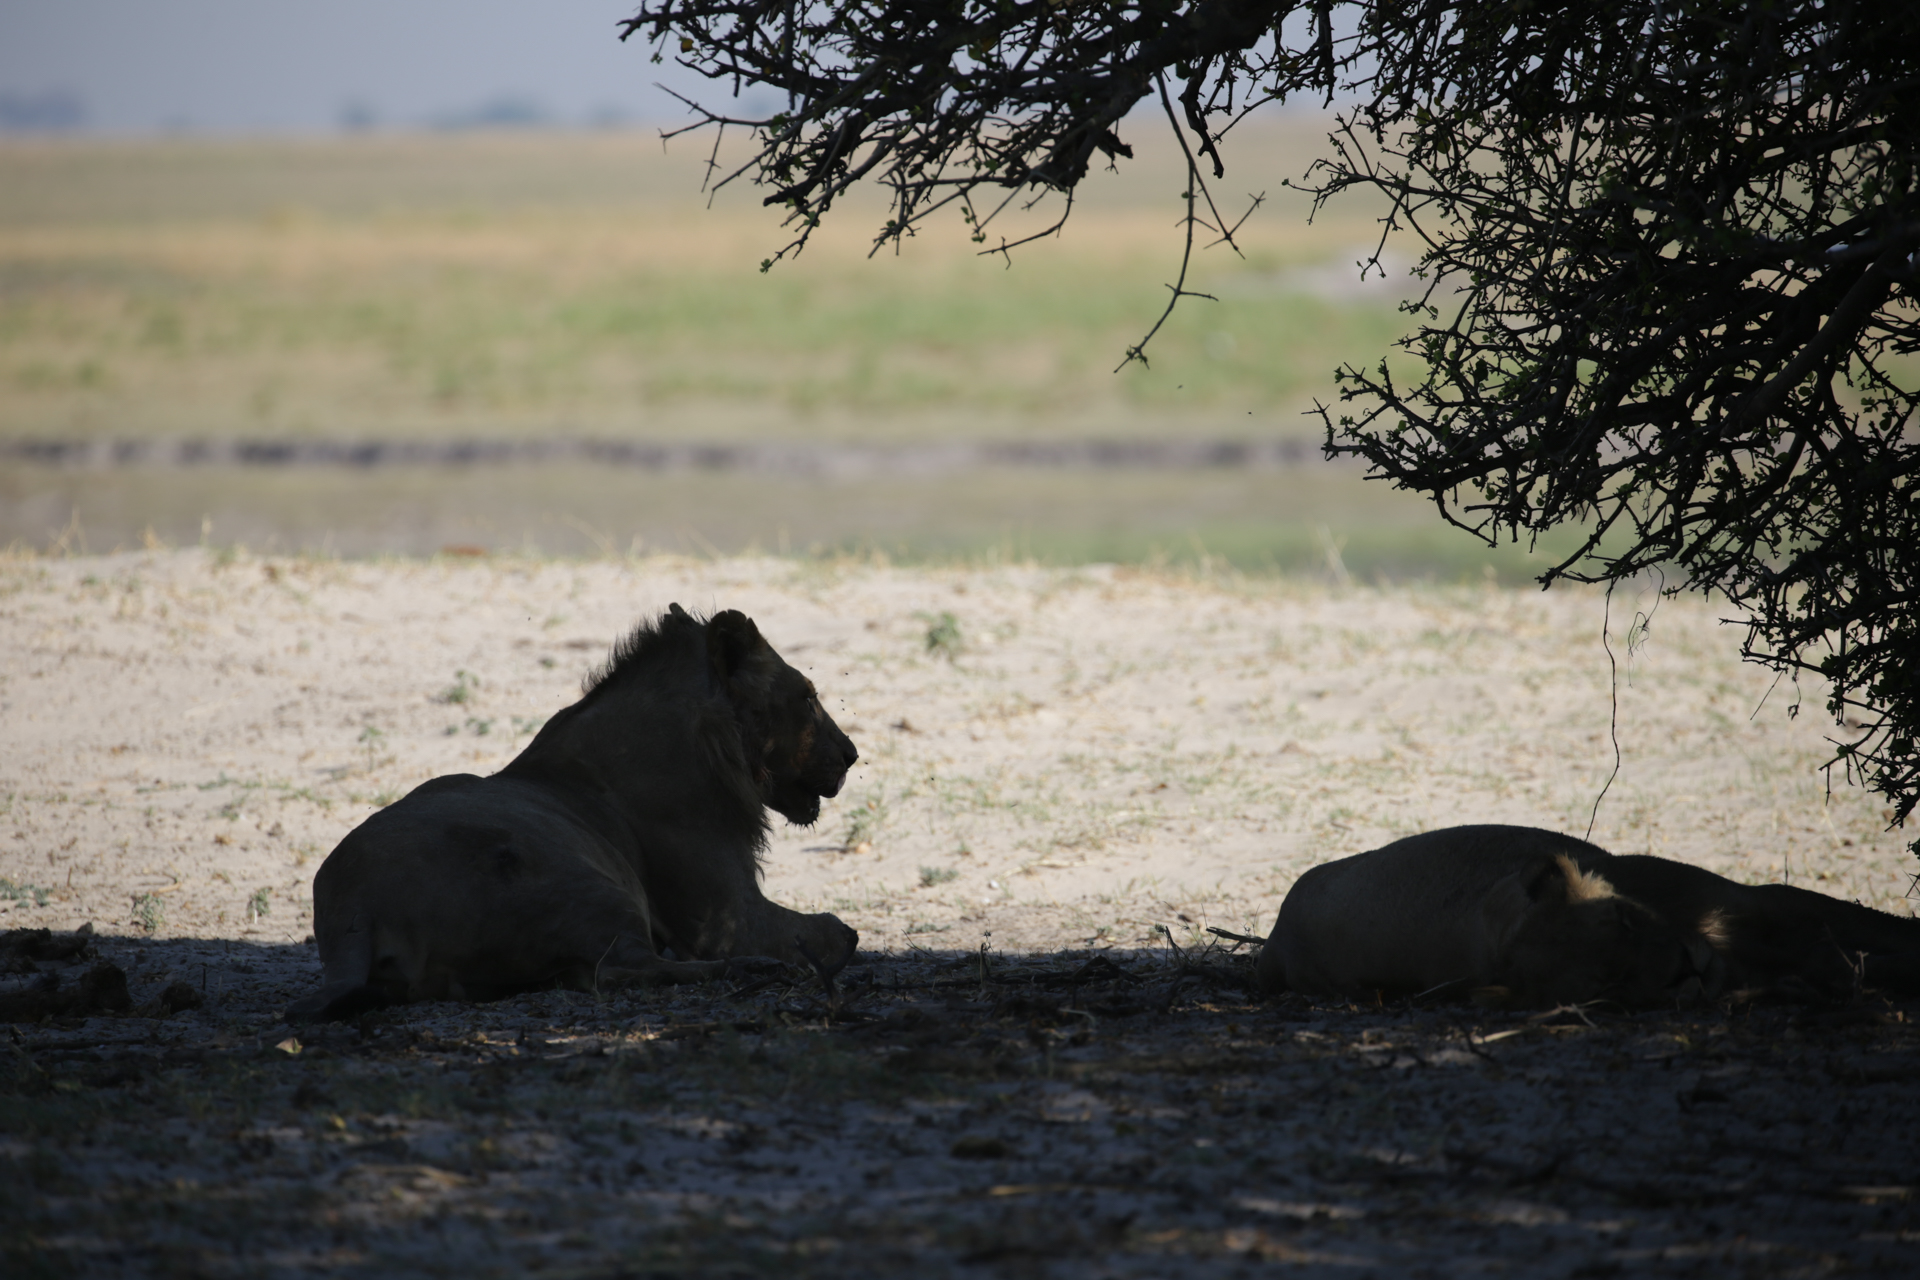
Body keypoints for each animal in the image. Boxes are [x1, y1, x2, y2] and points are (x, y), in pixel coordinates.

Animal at [284, 606, 856, 1028]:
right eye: (808, 699)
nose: (851, 755)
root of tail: (354, 907)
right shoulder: (728, 917)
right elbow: (839, 932)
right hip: (595, 888)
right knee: (622, 970)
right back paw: (758, 969)